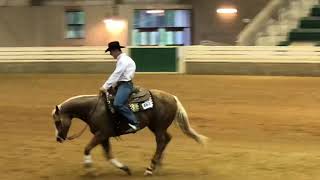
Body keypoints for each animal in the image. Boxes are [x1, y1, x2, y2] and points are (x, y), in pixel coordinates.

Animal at [52, 88, 208, 176]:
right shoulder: (103, 137)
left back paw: (150, 168)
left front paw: (89, 169)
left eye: (57, 122)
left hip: (158, 127)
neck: (93, 108)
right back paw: (158, 165)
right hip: (156, 126)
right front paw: (125, 168)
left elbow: (87, 148)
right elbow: (108, 155)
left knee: (161, 142)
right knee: (167, 139)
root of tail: (173, 98)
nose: (58, 138)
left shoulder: (102, 134)